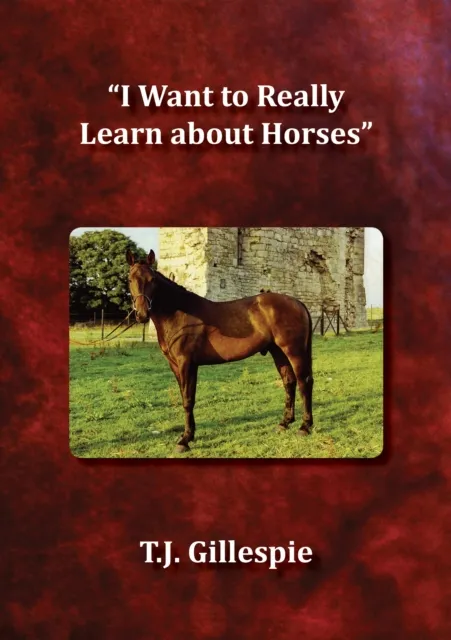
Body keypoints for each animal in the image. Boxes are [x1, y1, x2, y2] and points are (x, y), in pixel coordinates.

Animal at [126, 249, 314, 453]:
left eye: (152, 279)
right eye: (129, 279)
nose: (142, 314)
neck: (179, 313)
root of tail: (298, 303)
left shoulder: (187, 364)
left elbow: (188, 399)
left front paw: (185, 440)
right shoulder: (175, 365)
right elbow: (185, 397)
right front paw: (188, 435)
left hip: (294, 351)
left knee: (304, 382)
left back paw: (305, 427)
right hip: (278, 352)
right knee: (289, 382)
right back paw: (284, 423)